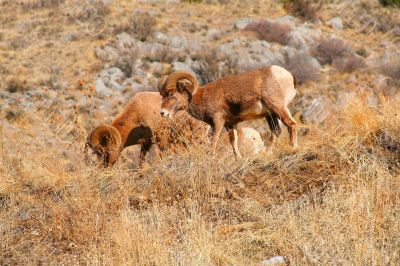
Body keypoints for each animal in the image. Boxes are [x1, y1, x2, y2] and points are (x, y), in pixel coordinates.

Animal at [159, 65, 296, 158]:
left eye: (171, 94)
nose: (163, 113)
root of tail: (288, 76)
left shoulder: (218, 121)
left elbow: (214, 139)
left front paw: (212, 156)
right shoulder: (230, 124)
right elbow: (233, 142)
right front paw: (238, 158)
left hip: (277, 107)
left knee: (291, 124)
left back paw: (294, 147)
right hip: (270, 115)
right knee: (276, 131)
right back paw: (266, 154)